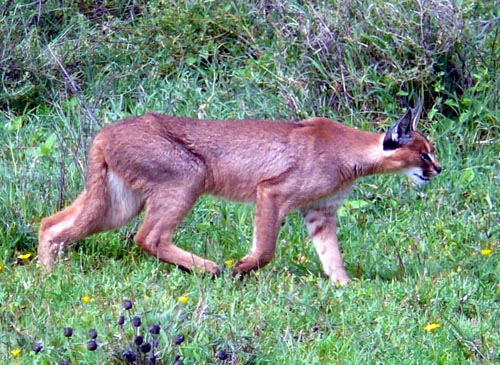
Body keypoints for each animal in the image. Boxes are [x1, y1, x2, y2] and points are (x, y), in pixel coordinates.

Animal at [39, 103, 442, 284]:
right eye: (424, 153)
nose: (438, 169)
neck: (354, 154)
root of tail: (104, 132)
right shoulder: (273, 192)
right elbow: (265, 249)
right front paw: (241, 268)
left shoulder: (321, 212)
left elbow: (332, 256)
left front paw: (344, 288)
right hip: (189, 176)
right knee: (148, 237)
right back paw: (209, 268)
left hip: (120, 202)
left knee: (51, 224)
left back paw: (47, 277)